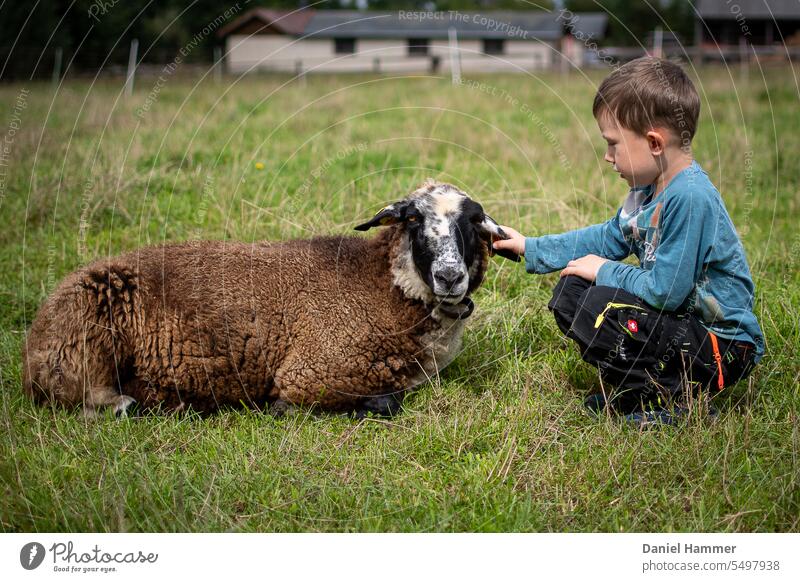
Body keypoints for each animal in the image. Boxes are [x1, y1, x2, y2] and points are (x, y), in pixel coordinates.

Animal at [23, 180, 520, 418]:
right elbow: (385, 402)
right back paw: (139, 405)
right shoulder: (314, 371)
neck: (383, 285)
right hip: (82, 341)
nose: (450, 276)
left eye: (473, 220)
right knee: (81, 397)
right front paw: (278, 406)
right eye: (413, 218)